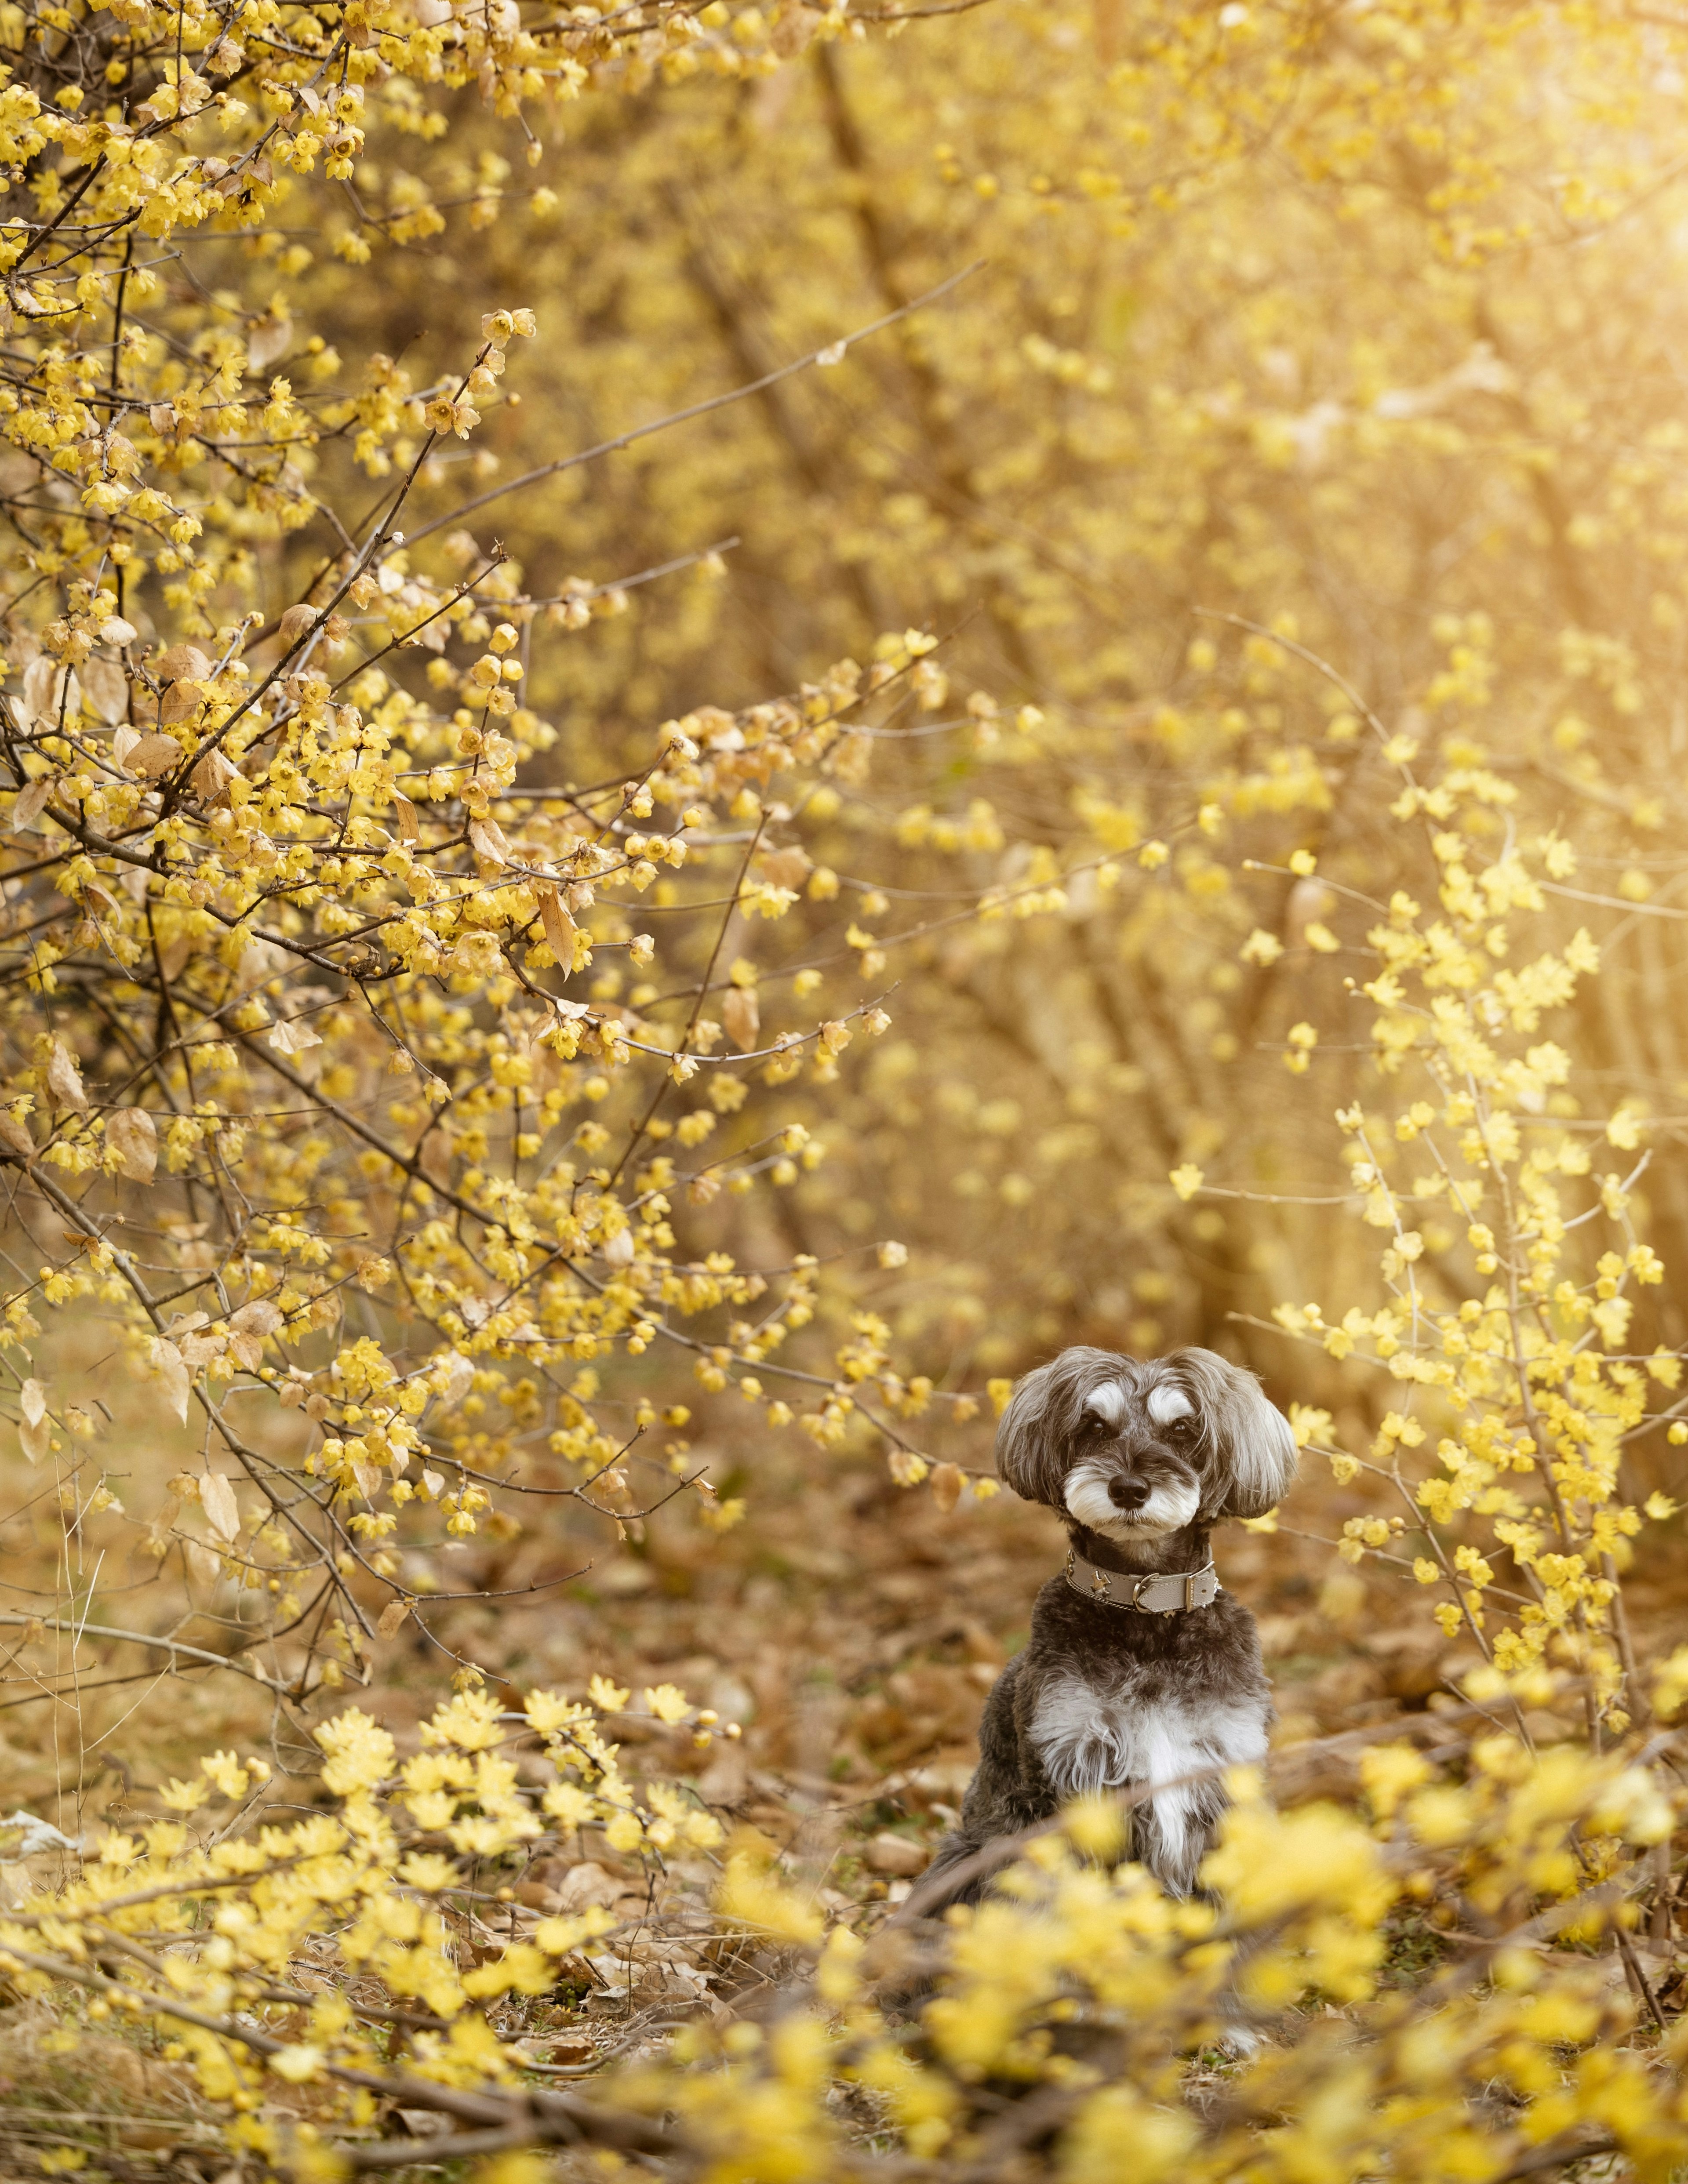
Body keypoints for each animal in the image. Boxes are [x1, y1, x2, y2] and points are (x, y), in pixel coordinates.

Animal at [921, 1337, 1301, 1904]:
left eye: (1182, 1429)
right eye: (1095, 1425)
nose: (1128, 1488)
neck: (1145, 1611)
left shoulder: (1226, 1764)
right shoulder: (1068, 1767)